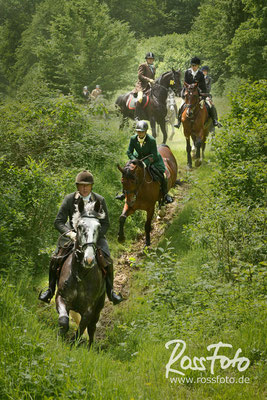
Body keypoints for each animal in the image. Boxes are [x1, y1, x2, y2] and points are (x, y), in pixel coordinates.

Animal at [56, 199, 106, 346]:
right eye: (79, 227)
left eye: (98, 227)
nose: (89, 259)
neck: (80, 275)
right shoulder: (61, 298)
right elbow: (64, 321)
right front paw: (59, 340)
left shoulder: (89, 310)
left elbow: (82, 329)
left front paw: (74, 344)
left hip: (98, 308)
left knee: (92, 327)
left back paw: (90, 347)